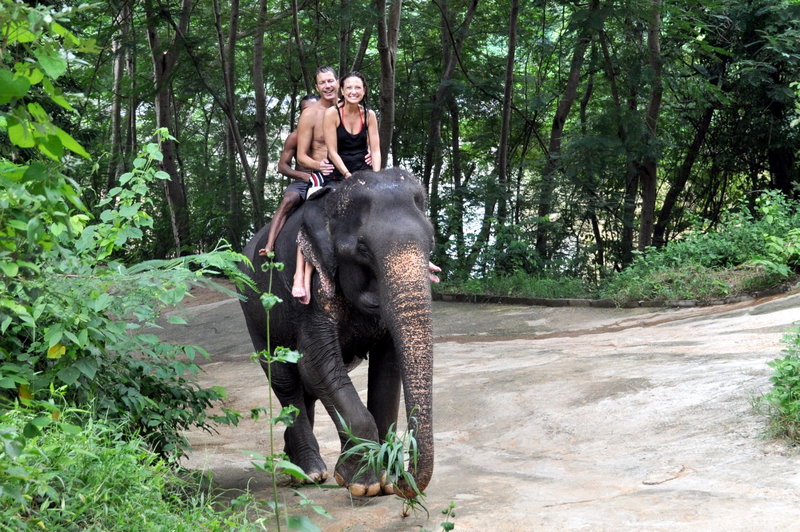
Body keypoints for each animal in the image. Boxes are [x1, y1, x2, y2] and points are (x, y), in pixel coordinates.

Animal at [238, 168, 434, 496]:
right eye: (362, 249)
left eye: (431, 242)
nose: (402, 482)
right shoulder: (310, 293)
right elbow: (315, 365)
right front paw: (362, 483)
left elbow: (387, 369)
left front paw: (383, 478)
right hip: (254, 311)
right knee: (286, 382)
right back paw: (309, 473)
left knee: (304, 391)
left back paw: (296, 468)